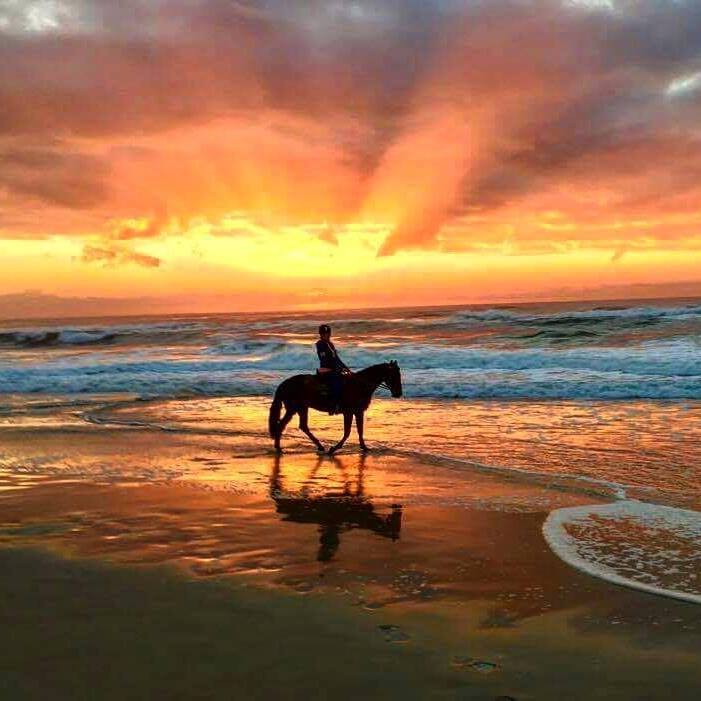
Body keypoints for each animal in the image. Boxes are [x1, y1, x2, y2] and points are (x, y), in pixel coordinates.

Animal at [268, 360, 402, 454]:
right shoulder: (349, 412)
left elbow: (360, 430)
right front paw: (334, 449)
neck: (360, 385)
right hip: (294, 408)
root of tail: (284, 384)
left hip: (301, 408)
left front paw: (364, 447)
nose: (398, 393)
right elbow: (347, 432)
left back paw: (319, 446)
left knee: (301, 426)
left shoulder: (358, 411)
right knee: (284, 425)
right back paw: (279, 448)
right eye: (394, 375)